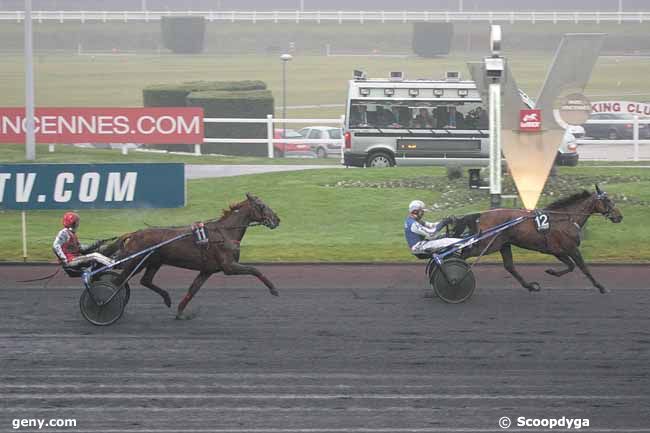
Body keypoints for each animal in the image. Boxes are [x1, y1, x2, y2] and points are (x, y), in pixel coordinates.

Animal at [103, 192, 278, 318]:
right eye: (262, 205)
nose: (277, 220)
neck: (225, 233)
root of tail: (134, 234)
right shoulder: (229, 266)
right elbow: (255, 270)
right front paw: (273, 289)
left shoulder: (207, 270)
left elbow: (193, 289)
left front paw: (180, 312)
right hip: (135, 261)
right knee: (117, 281)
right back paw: (105, 303)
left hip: (153, 262)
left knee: (144, 280)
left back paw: (166, 298)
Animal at [448, 184, 620, 292]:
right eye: (607, 200)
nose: (620, 216)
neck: (566, 219)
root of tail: (481, 214)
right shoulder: (571, 248)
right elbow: (584, 268)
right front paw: (601, 287)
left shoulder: (558, 251)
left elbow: (571, 266)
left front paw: (551, 271)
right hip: (488, 244)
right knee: (464, 254)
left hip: (503, 244)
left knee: (510, 267)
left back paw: (530, 286)